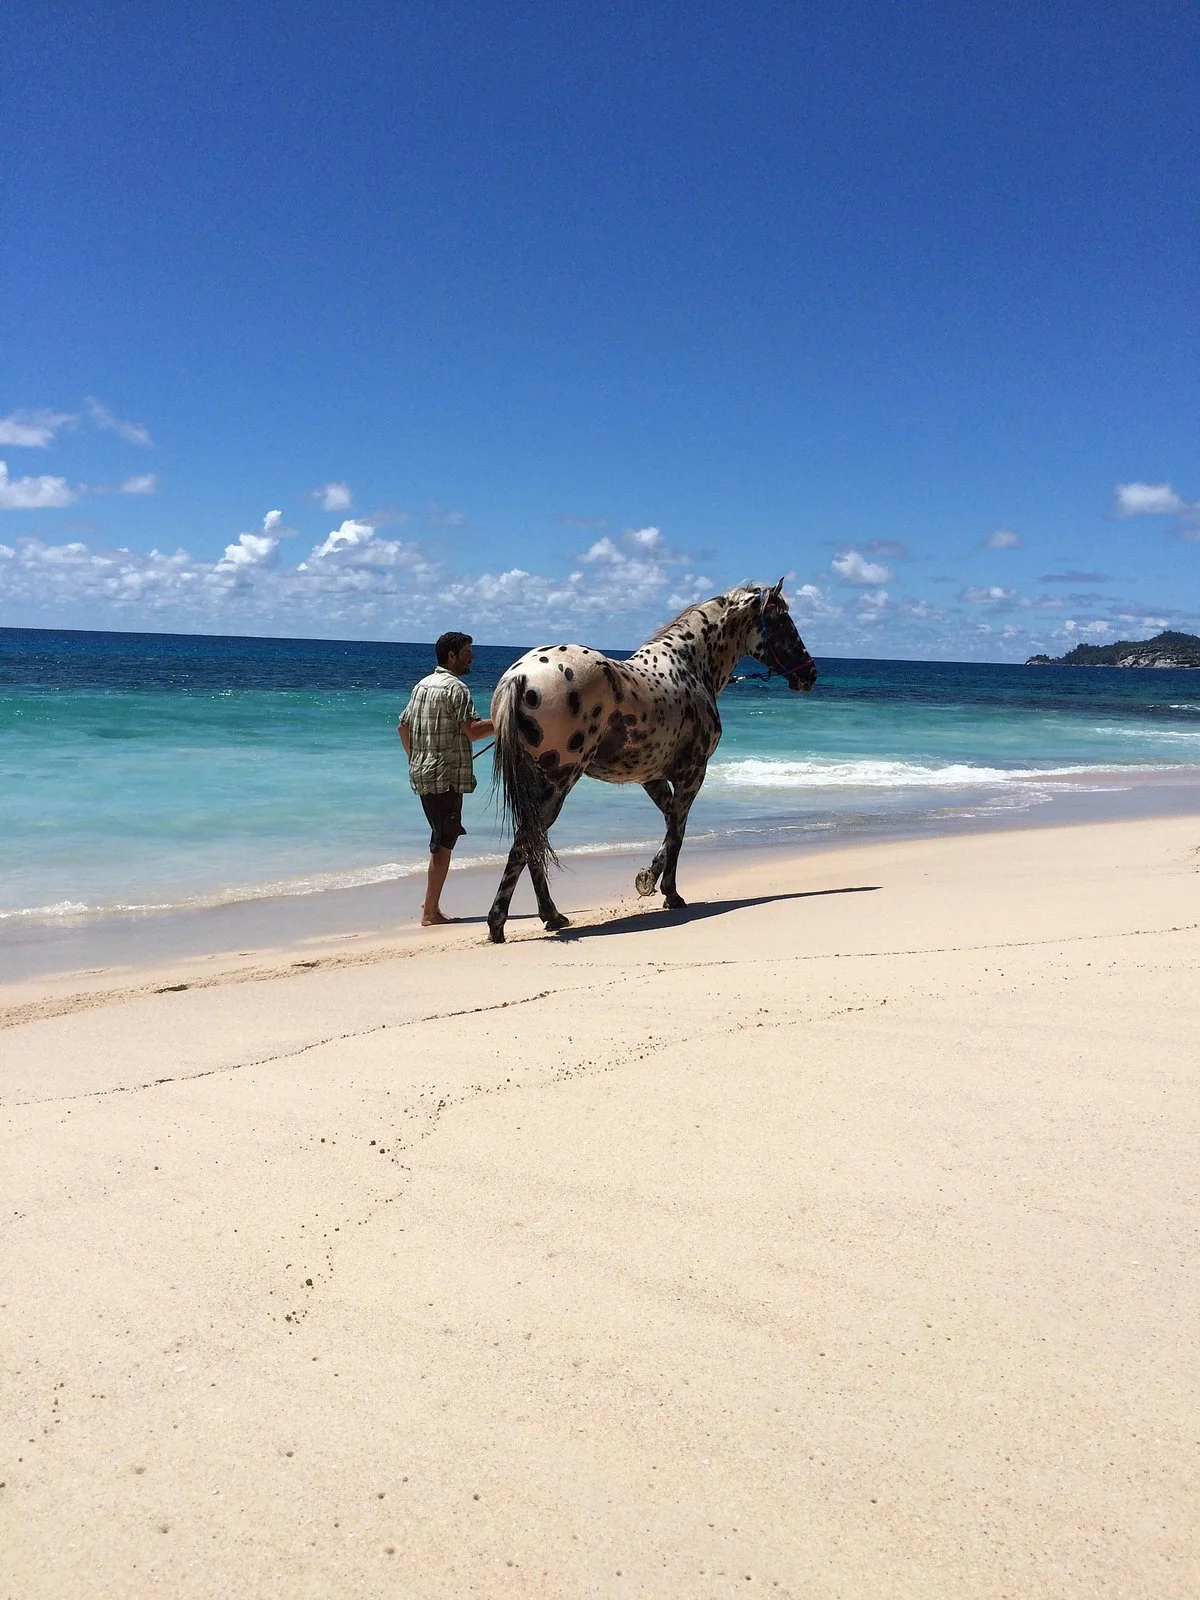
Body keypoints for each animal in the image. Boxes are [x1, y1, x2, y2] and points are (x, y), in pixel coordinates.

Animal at [485, 579, 817, 943]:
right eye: (783, 621)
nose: (810, 673)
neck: (689, 665)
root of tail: (521, 677)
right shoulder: (692, 774)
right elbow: (678, 830)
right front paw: (667, 891)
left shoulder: (653, 777)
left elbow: (671, 824)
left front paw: (650, 880)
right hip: (559, 781)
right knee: (526, 840)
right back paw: (500, 923)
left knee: (532, 841)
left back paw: (551, 915)